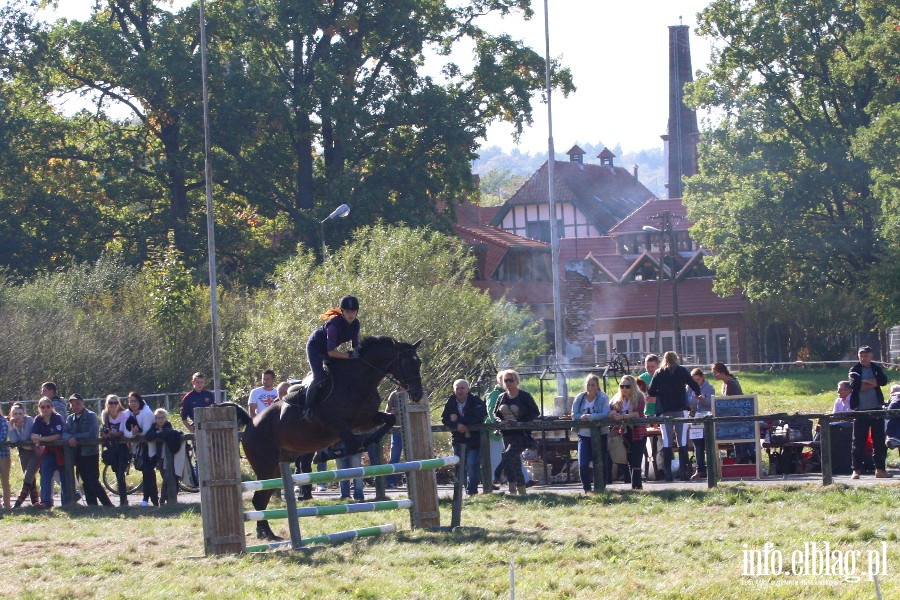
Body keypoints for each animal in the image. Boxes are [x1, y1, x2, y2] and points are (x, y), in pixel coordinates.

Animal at [225, 338, 422, 540]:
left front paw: (371, 440)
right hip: (265, 466)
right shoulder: (336, 423)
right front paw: (327, 454)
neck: (357, 381)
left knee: (261, 499)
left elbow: (389, 421)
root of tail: (251, 423)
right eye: (406, 362)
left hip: (275, 468)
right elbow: (352, 444)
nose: (417, 394)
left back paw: (267, 534)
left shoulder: (366, 420)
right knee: (259, 500)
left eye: (419, 362)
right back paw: (266, 534)